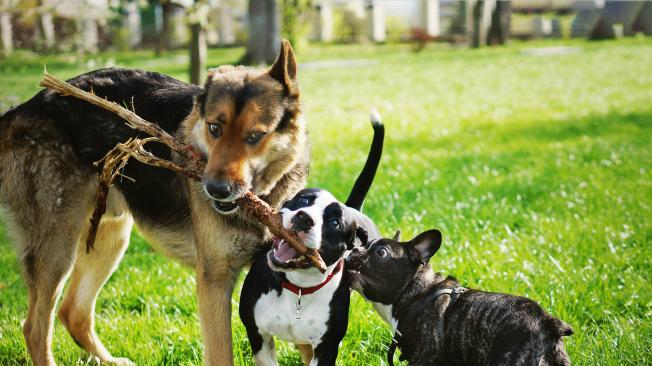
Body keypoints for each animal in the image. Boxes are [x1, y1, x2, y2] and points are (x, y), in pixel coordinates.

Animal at [0, 41, 310, 364]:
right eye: (214, 128)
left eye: (255, 136)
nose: (216, 190)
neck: (263, 200)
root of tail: (21, 110)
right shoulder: (215, 280)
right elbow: (221, 353)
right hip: (59, 249)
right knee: (35, 328)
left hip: (109, 236)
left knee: (73, 312)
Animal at [238, 113, 382, 364]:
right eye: (304, 199)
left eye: (334, 223)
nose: (304, 218)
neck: (298, 288)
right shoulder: (258, 335)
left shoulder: (326, 348)